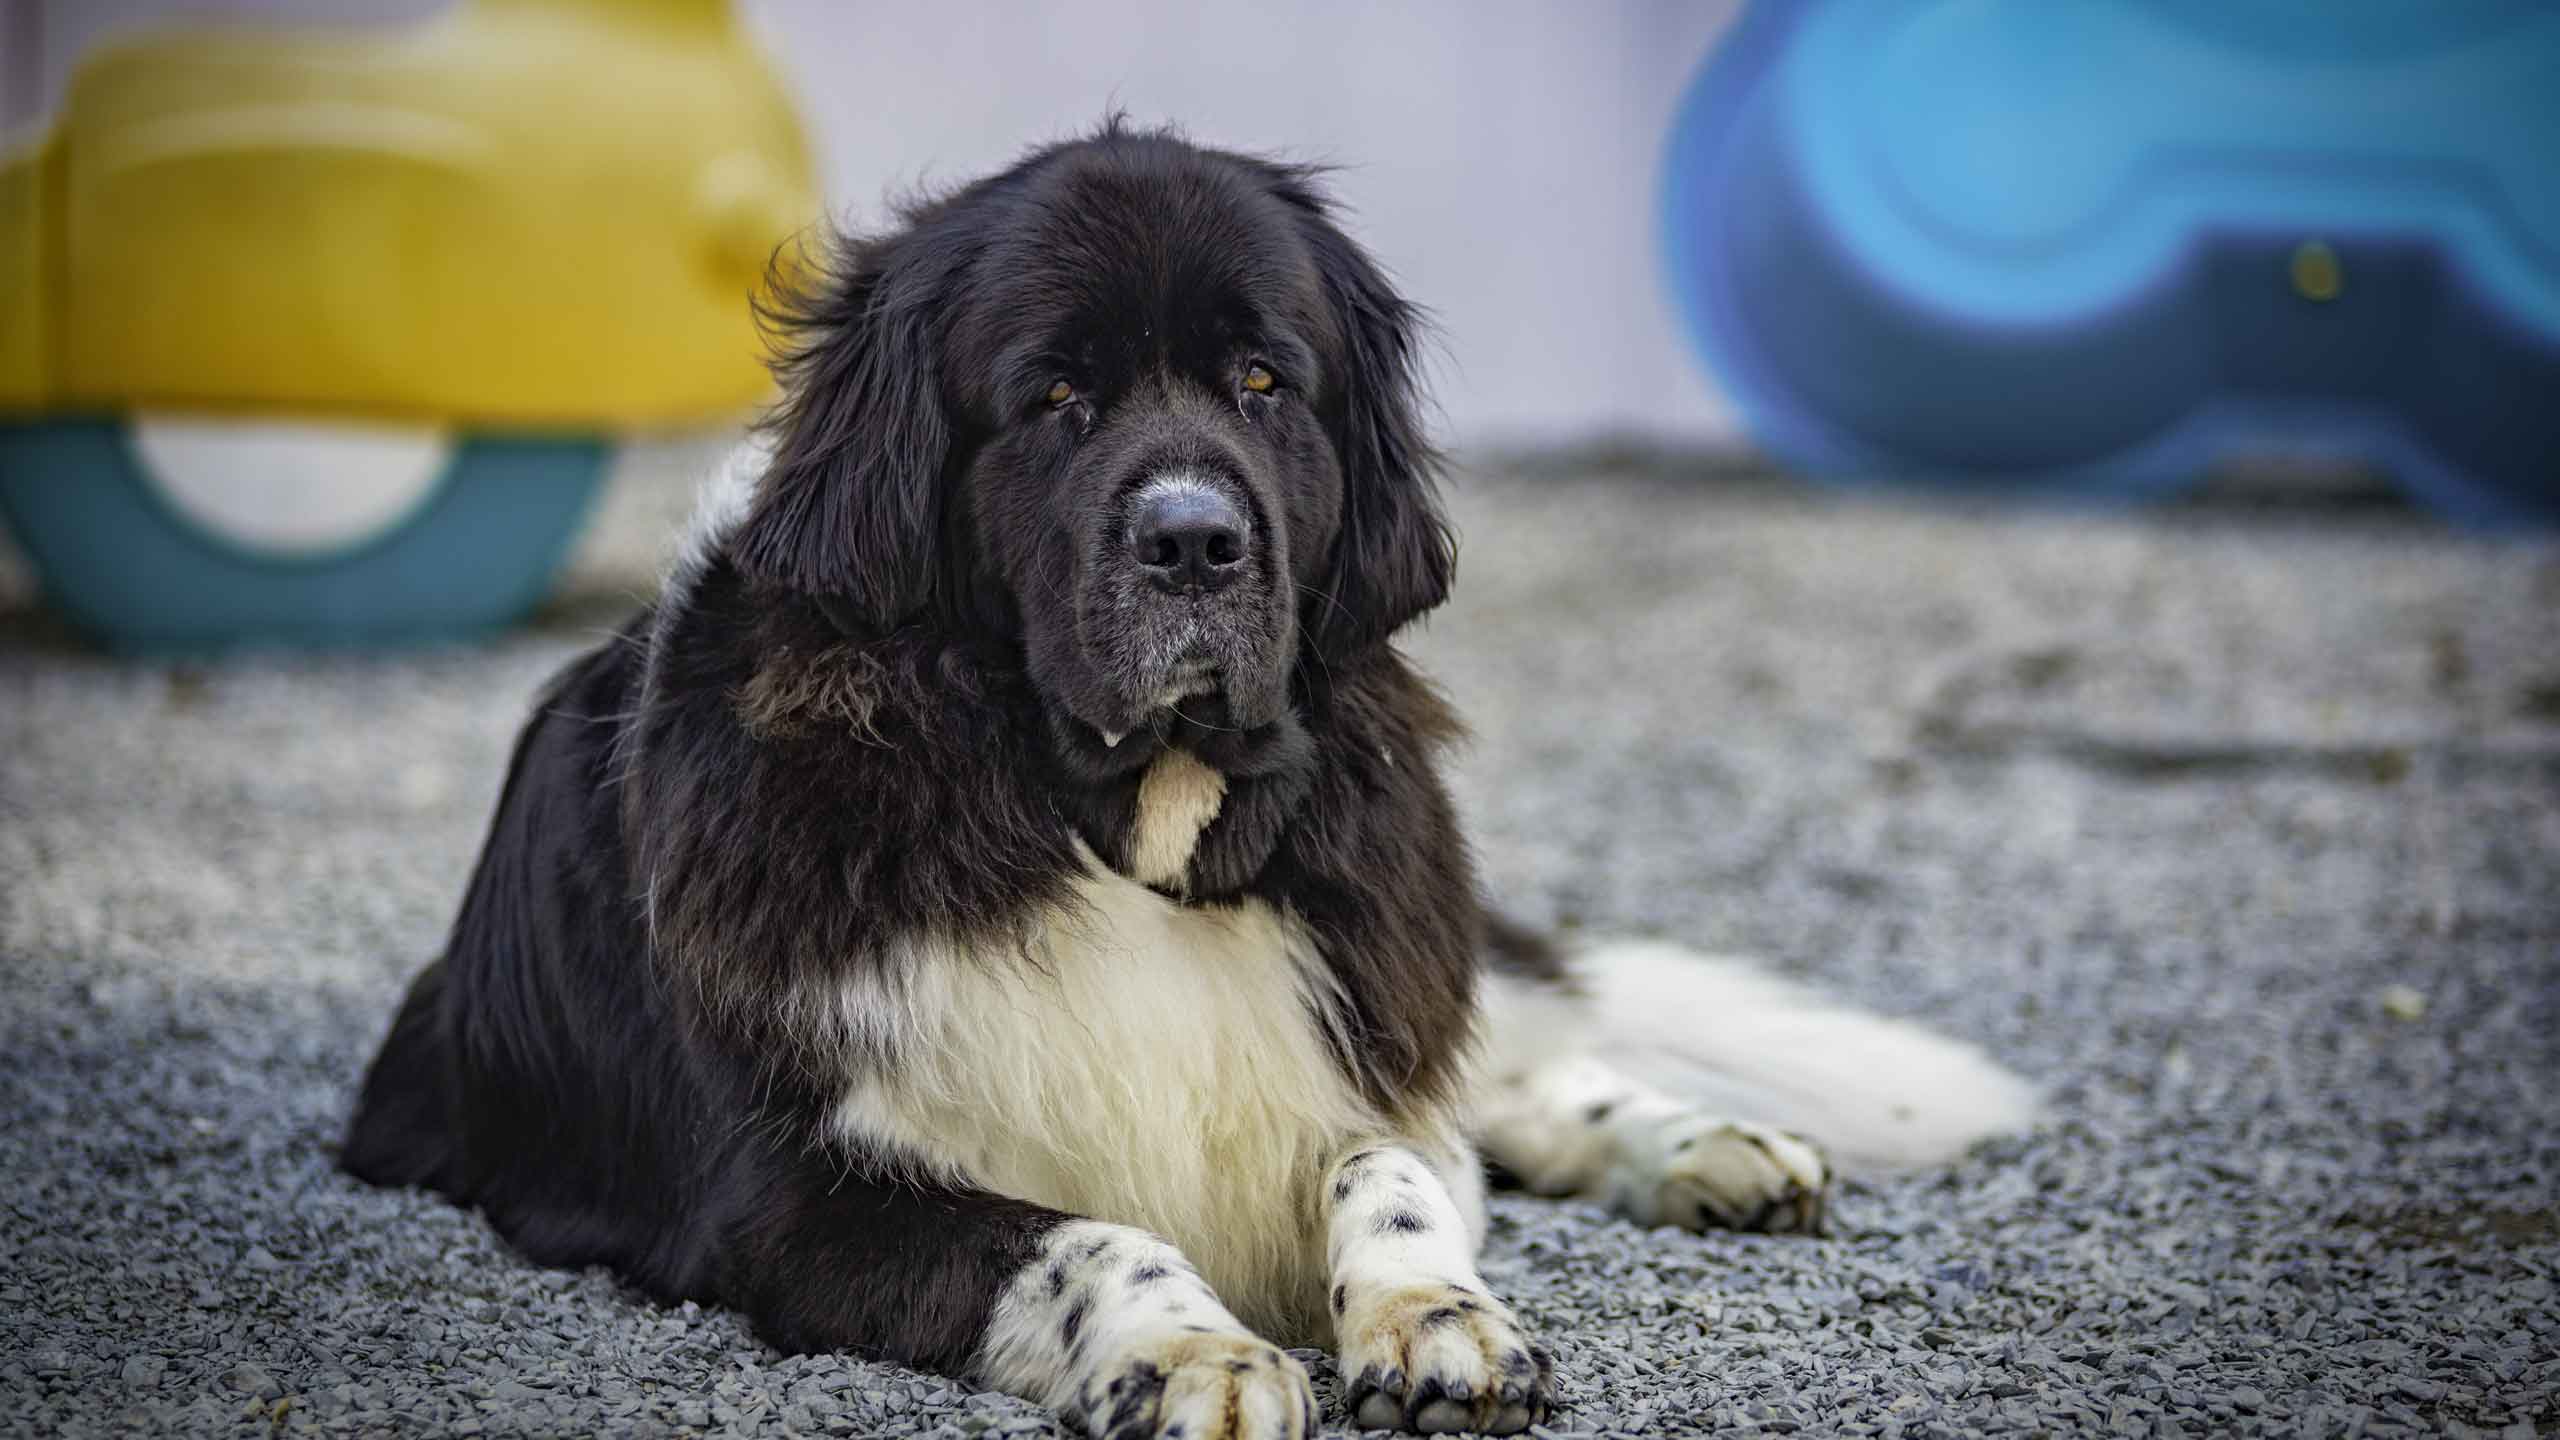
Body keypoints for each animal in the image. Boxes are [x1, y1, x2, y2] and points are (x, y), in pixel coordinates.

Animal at [345, 126, 2037, 1434]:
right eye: (1052, 398)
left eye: (1262, 381)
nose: (1194, 539)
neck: (1118, 833)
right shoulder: (795, 1196)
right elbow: (1083, 1234)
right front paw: (1193, 1352)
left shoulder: (1347, 1007)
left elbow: (1391, 1158)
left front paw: (1439, 1315)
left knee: (1515, 1065)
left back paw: (1711, 1148)